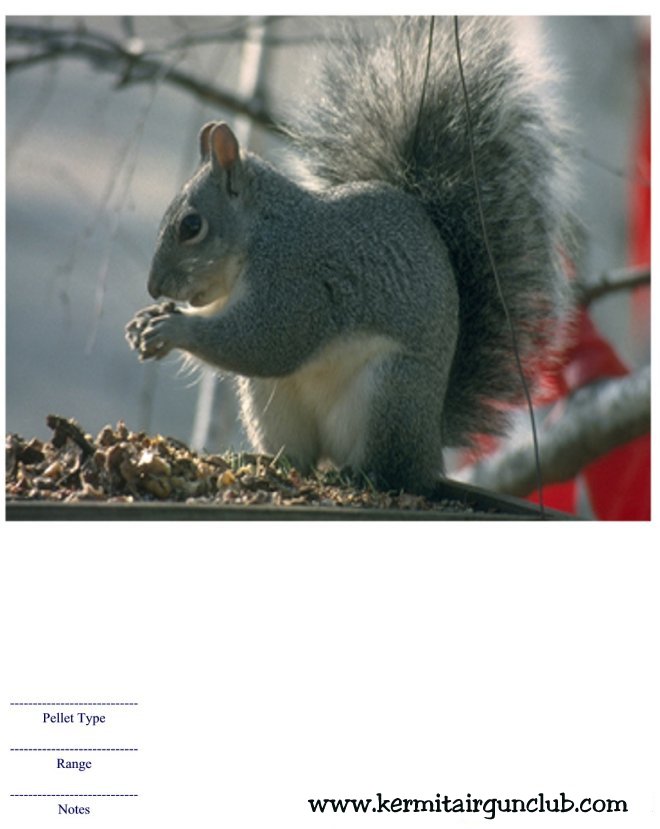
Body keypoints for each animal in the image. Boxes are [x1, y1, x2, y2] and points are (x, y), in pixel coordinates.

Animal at [126, 16, 574, 495]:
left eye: (191, 226)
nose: (153, 287)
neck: (260, 232)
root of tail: (430, 448)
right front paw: (145, 322)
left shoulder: (294, 277)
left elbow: (267, 341)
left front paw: (173, 328)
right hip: (272, 402)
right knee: (300, 456)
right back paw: (265, 462)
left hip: (389, 394)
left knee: (389, 469)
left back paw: (362, 473)